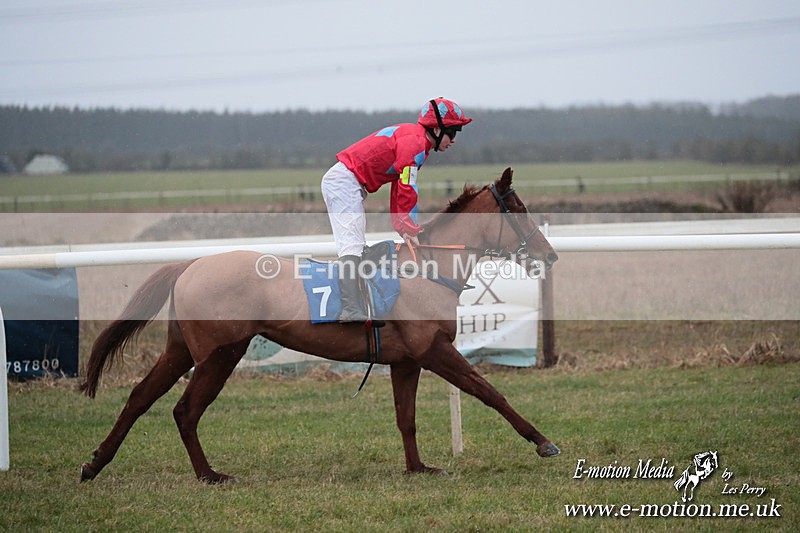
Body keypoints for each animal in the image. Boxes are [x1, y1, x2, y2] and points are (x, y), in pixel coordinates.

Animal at [79, 167, 561, 484]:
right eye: (519, 209)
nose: (550, 254)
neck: (427, 268)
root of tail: (190, 264)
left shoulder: (406, 361)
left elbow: (406, 418)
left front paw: (418, 468)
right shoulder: (435, 351)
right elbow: (490, 392)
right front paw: (543, 441)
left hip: (180, 349)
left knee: (140, 397)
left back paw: (94, 464)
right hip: (220, 354)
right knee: (185, 410)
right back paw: (209, 475)